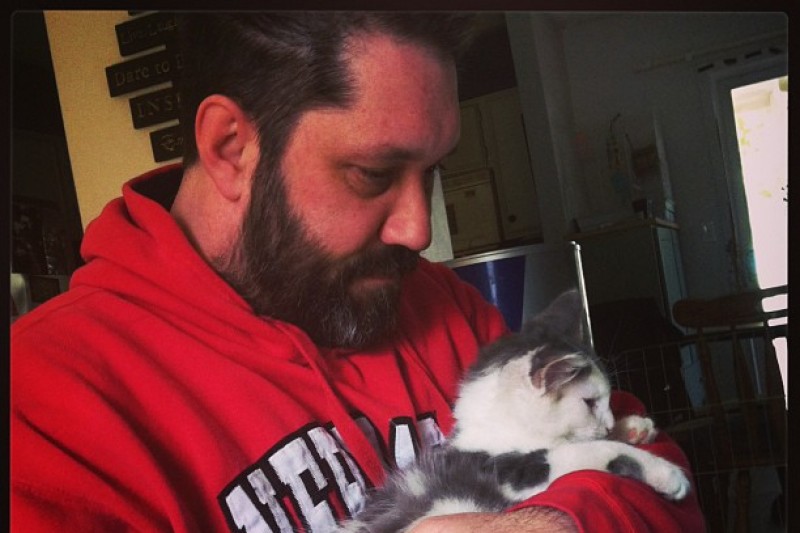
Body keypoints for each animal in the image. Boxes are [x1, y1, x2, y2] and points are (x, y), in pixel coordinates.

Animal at [337, 289, 690, 533]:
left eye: (606, 400)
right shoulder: (514, 476)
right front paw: (666, 473)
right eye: (590, 402)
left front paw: (634, 427)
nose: (607, 422)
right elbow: (593, 451)